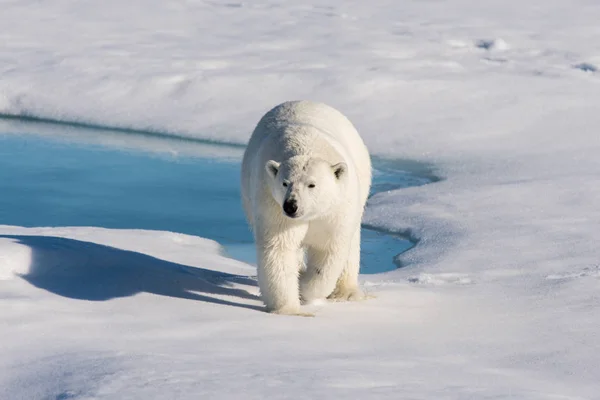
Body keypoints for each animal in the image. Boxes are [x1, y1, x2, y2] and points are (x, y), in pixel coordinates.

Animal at [239, 101, 370, 316]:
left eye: (312, 184)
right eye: (285, 183)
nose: (291, 205)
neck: (307, 146)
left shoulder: (336, 209)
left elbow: (328, 251)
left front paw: (305, 287)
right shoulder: (272, 204)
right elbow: (280, 248)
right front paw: (290, 309)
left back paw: (346, 292)